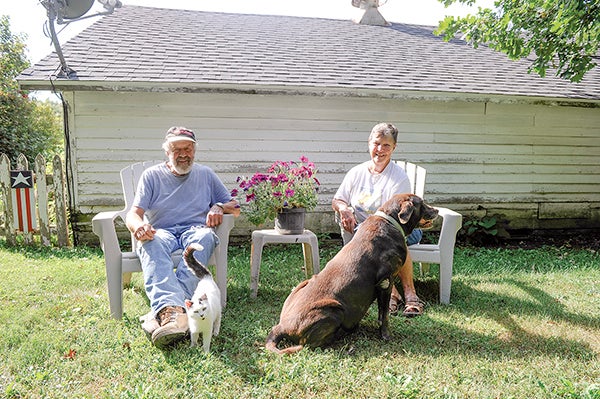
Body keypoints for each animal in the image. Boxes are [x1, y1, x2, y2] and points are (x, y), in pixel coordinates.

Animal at [264, 195, 438, 354]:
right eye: (422, 203)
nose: (436, 210)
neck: (391, 222)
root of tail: (281, 327)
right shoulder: (385, 282)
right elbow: (384, 315)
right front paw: (386, 335)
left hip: (303, 284)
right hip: (334, 310)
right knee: (307, 345)